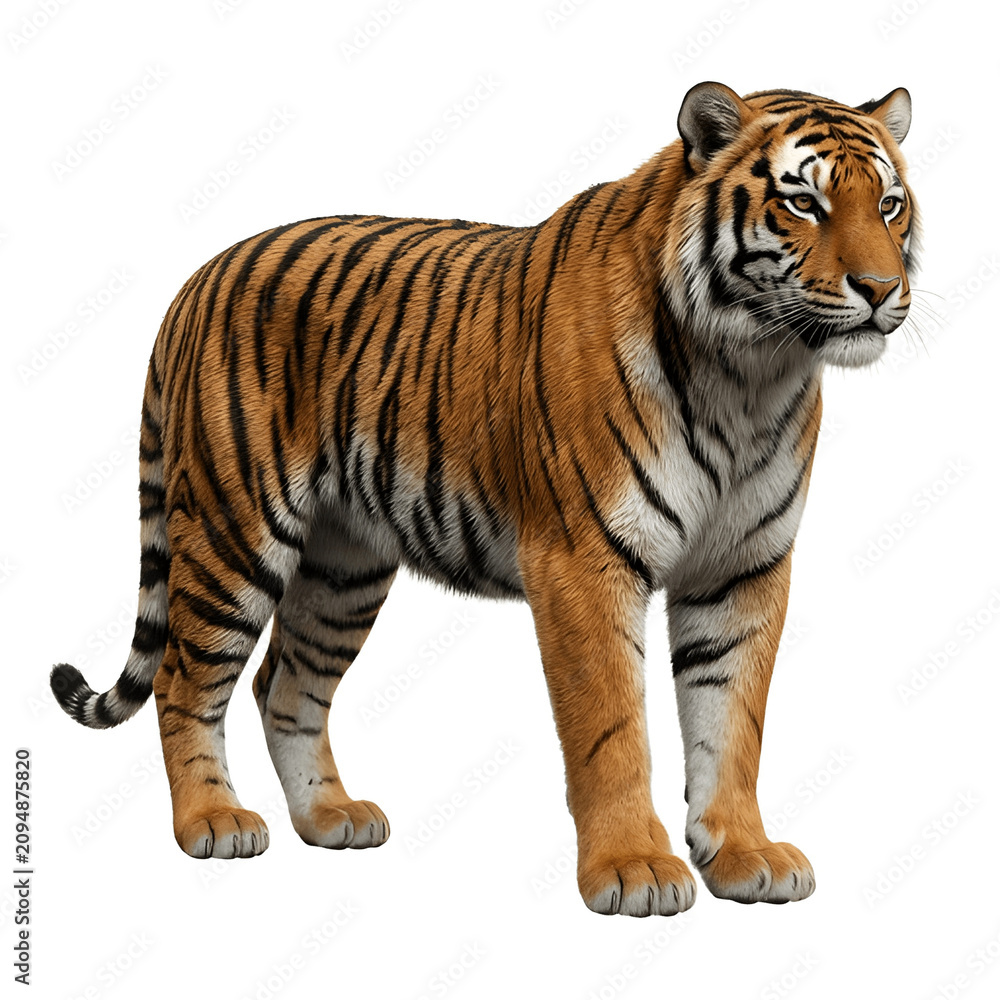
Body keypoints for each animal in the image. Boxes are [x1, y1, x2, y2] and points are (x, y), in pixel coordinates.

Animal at [50, 82, 918, 917]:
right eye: (803, 202)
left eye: (888, 204)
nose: (881, 289)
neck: (751, 375)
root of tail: (200, 276)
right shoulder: (584, 560)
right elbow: (612, 728)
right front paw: (633, 868)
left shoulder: (743, 569)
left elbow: (732, 722)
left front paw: (743, 855)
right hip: (234, 533)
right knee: (183, 679)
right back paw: (213, 821)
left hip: (343, 566)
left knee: (284, 686)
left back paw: (330, 817)